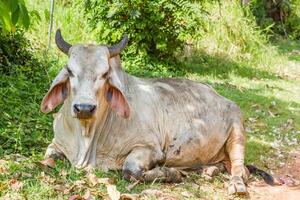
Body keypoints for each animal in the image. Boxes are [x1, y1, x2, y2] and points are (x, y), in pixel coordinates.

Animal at [41, 29, 274, 195]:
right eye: (70, 71)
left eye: (105, 73)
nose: (84, 108)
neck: (87, 138)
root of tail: (221, 97)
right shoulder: (56, 144)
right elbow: (48, 157)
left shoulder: (150, 149)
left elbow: (130, 170)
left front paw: (172, 173)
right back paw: (209, 169)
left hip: (237, 128)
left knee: (239, 167)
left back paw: (236, 184)